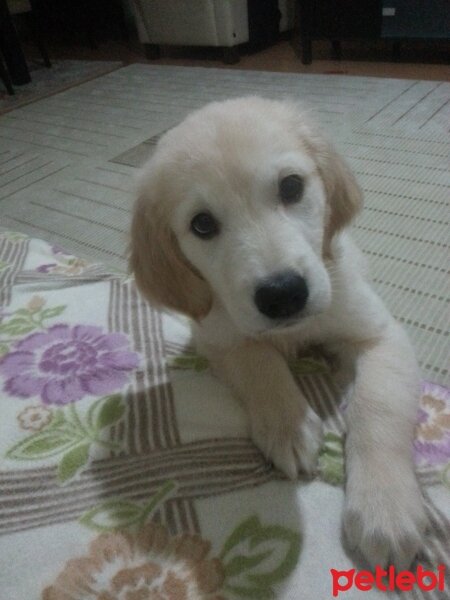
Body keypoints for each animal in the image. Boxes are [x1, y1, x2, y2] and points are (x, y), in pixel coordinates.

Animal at [129, 97, 426, 568]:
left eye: (291, 187)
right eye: (202, 224)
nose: (283, 294)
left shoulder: (379, 334)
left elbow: (377, 406)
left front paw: (386, 509)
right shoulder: (217, 337)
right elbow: (260, 362)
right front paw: (288, 427)